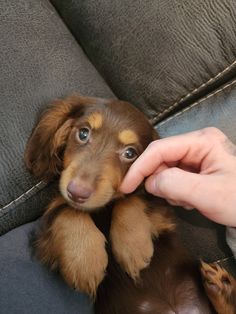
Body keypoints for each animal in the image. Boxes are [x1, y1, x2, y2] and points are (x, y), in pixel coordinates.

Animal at [24, 94, 233, 312]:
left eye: (130, 153)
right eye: (83, 133)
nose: (77, 193)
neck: (103, 208)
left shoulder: (160, 215)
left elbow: (130, 197)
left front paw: (132, 246)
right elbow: (65, 209)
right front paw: (84, 261)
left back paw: (223, 288)